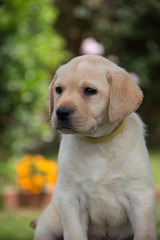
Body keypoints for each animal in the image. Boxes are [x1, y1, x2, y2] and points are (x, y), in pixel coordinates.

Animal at [33, 55, 157, 239]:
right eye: (59, 90)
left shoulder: (140, 197)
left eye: (90, 91)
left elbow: (144, 233)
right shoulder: (71, 199)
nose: (61, 112)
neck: (98, 143)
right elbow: (75, 234)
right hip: (49, 223)